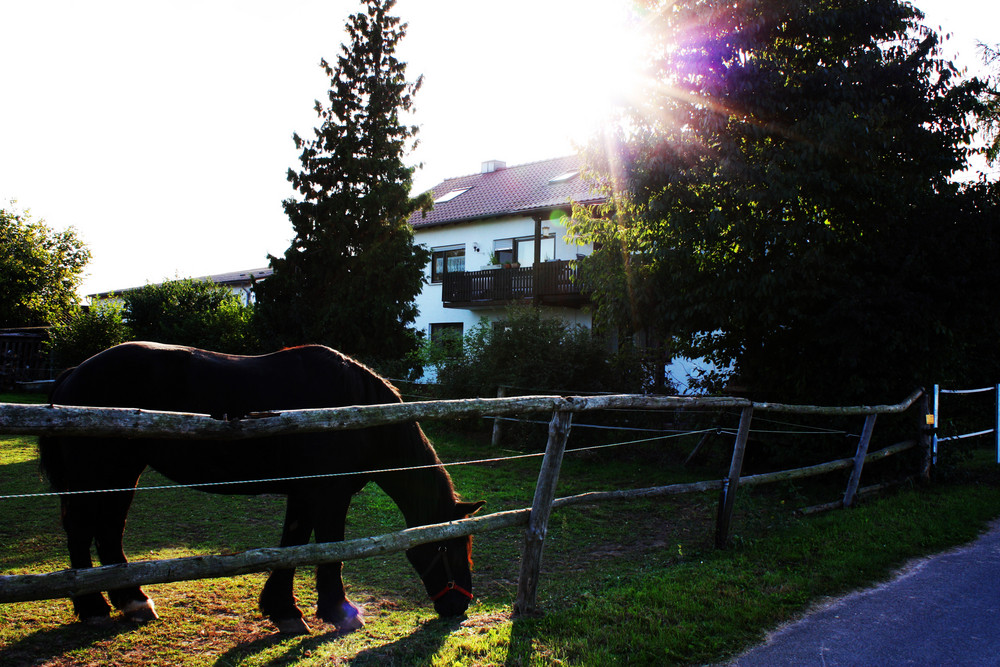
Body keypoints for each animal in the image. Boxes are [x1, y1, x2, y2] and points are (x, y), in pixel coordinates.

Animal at [41, 342, 486, 636]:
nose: (458, 606)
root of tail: (73, 373)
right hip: (102, 473)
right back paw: (96, 606)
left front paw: (283, 609)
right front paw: (338, 611)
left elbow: (293, 545)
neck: (353, 413)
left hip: (120, 475)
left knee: (108, 532)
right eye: (449, 548)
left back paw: (131, 602)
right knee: (83, 530)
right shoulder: (329, 494)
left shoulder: (305, 493)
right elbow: (328, 548)